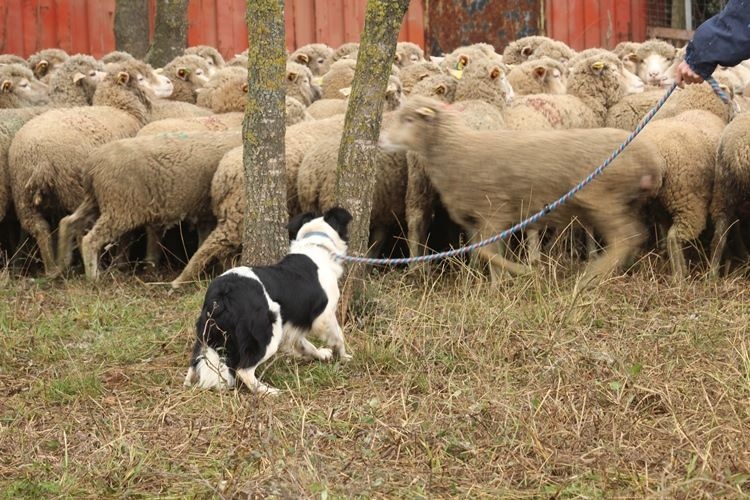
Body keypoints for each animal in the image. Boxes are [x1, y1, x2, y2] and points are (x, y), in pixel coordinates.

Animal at [8, 64, 154, 276]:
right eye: (142, 78)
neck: (122, 109)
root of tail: (39, 160)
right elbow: (126, 234)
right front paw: (121, 264)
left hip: (22, 196)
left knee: (40, 229)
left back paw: (52, 269)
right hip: (74, 189)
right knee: (79, 229)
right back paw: (91, 268)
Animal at [58, 130, 241, 278]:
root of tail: (92, 165)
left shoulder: (205, 213)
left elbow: (203, 242)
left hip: (97, 200)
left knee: (68, 221)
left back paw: (62, 264)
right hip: (120, 207)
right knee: (90, 239)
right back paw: (93, 277)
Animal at [382, 96, 664, 286]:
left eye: (409, 119)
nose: (381, 140)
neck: (458, 148)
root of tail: (649, 158)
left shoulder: (494, 210)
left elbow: (487, 251)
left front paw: (520, 273)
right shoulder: (478, 218)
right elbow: (485, 251)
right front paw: (498, 283)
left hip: (604, 199)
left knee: (625, 237)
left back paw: (591, 276)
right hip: (625, 201)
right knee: (635, 235)